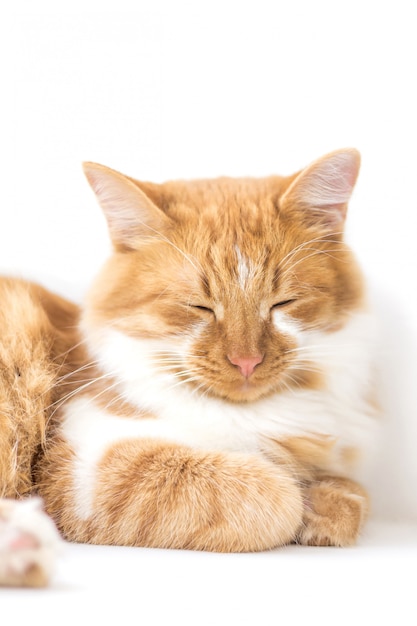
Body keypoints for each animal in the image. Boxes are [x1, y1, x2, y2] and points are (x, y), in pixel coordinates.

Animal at [0, 147, 376, 584]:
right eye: (199, 306)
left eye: (283, 303)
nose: (246, 361)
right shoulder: (85, 466)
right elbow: (275, 492)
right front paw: (298, 498)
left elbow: (353, 496)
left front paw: (322, 504)